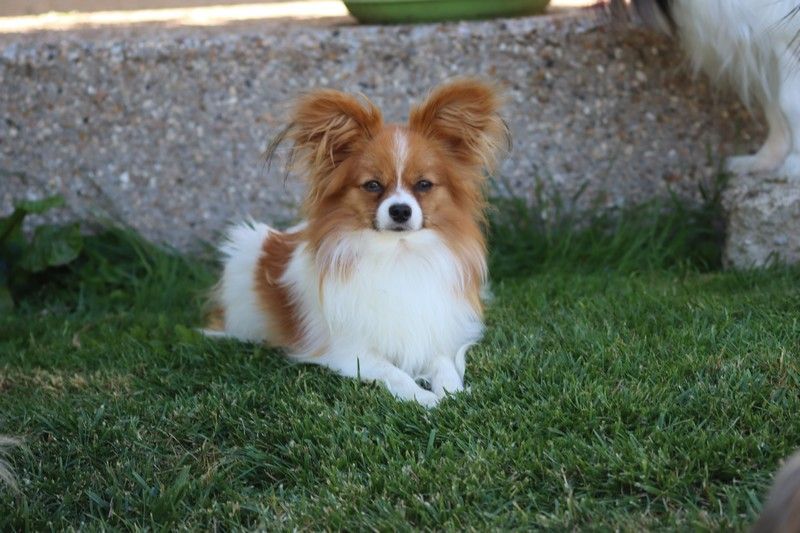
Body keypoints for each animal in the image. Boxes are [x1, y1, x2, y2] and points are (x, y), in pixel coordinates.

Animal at [203, 79, 510, 406]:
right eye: (372, 185)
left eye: (423, 185)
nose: (400, 210)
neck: (397, 253)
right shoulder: (351, 352)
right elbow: (395, 373)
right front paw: (425, 400)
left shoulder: (432, 332)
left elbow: (444, 366)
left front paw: (452, 395)